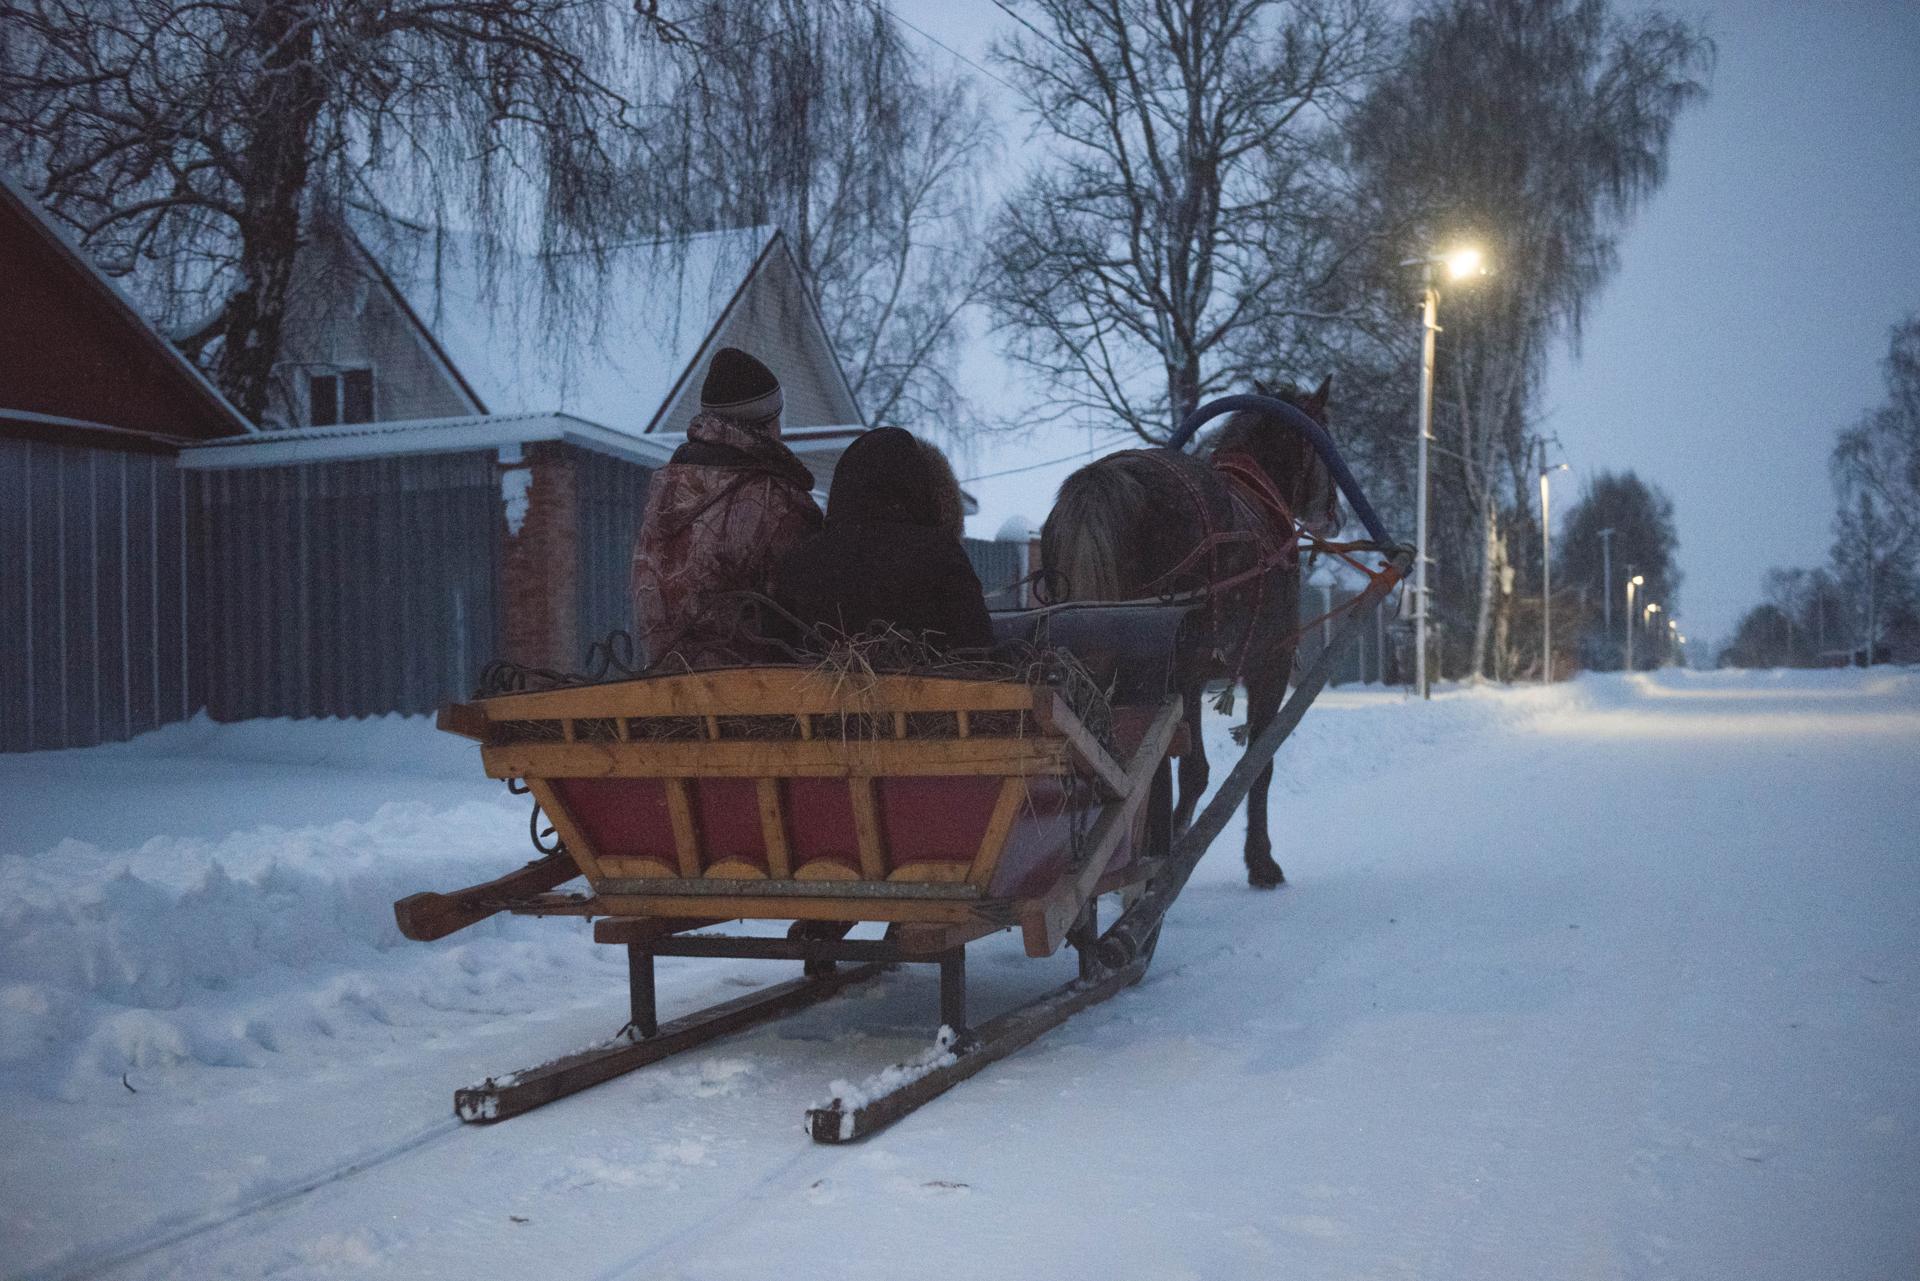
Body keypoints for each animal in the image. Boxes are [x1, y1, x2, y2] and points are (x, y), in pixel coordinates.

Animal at [1044, 376, 1344, 887]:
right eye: (1324, 431)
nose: (1337, 515)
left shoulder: (1196, 676)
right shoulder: (1264, 668)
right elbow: (1249, 766)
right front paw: (1259, 861)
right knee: (1169, 771)